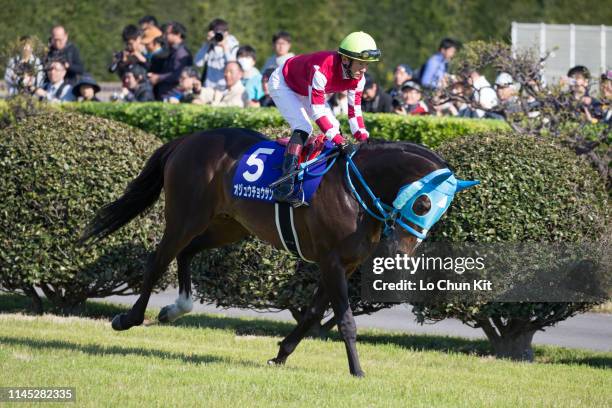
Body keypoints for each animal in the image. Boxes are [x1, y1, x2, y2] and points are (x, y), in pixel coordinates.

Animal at [81, 127, 462, 376]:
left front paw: (280, 355)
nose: (403, 250)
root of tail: (187, 140)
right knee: (157, 260)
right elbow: (345, 320)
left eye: (441, 212)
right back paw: (129, 318)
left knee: (186, 253)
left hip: (229, 224)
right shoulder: (332, 260)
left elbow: (313, 313)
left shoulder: (346, 263)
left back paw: (176, 308)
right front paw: (357, 371)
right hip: (185, 216)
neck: (355, 188)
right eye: (424, 203)